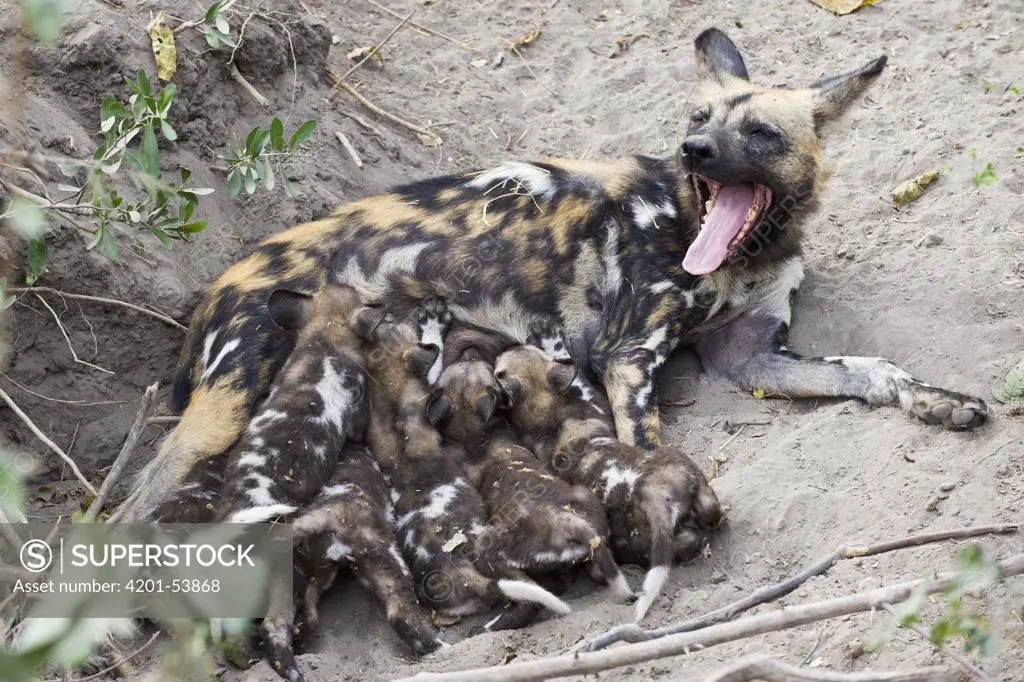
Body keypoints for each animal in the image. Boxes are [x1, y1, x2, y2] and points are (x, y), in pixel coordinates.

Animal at [116, 25, 987, 516]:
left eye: (761, 134)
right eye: (698, 118)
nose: (693, 152)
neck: (741, 251)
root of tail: (225, 279)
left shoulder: (753, 358)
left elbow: (872, 370)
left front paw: (937, 400)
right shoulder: (630, 357)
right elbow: (649, 443)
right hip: (225, 411)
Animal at [260, 444, 440, 679]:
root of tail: (324, 516)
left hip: (303, 577)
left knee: (280, 624)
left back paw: (292, 668)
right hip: (387, 559)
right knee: (399, 613)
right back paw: (438, 645)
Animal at [423, 350, 630, 630]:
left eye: (493, 368)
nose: (470, 353)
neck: (473, 434)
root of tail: (569, 521)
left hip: (487, 551)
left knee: (529, 601)